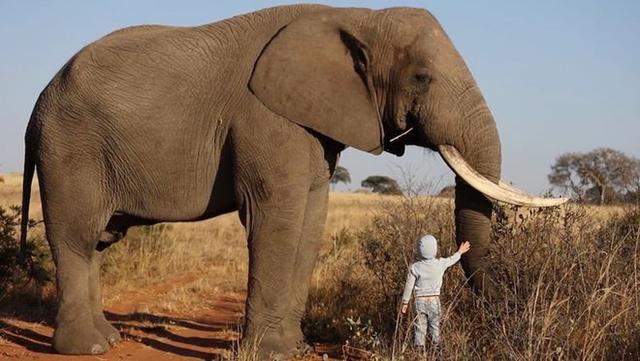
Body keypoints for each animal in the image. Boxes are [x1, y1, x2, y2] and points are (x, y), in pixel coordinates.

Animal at [21, 4, 564, 358]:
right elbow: (276, 217)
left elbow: (311, 220)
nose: (508, 313)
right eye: (422, 78)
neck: (358, 16)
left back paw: (108, 340)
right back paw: (88, 348)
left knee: (94, 244)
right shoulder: (266, 116)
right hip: (70, 146)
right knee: (76, 238)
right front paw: (271, 354)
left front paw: (294, 347)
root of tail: (38, 100)